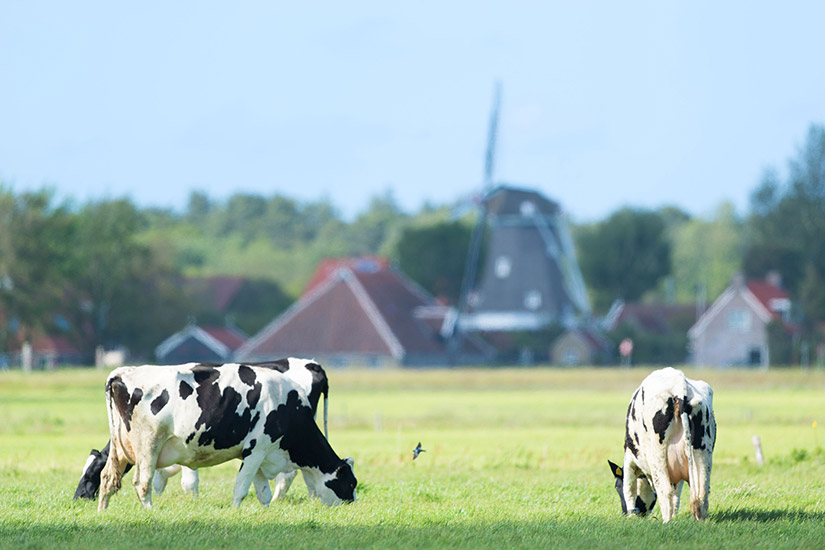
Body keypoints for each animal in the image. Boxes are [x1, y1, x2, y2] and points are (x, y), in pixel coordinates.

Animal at [96, 364, 354, 512]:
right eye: (351, 483)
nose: (352, 506)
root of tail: (120, 373)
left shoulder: (260, 453)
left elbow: (263, 492)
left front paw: (267, 513)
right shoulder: (256, 449)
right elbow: (242, 487)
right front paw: (235, 512)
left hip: (120, 450)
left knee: (107, 477)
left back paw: (103, 512)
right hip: (148, 445)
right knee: (142, 483)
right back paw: (150, 512)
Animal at [604, 368, 716, 524]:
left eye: (616, 486)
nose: (623, 513)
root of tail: (680, 385)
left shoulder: (629, 458)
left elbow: (629, 489)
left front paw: (632, 516)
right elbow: (676, 496)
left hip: (658, 456)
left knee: (664, 489)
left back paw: (666, 522)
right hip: (702, 452)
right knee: (701, 492)